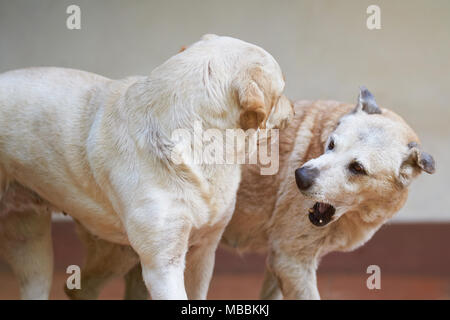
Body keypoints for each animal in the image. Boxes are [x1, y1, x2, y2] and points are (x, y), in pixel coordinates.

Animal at [53, 86, 436, 298]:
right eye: (331, 145)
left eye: (357, 168)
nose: (300, 177)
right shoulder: (292, 260)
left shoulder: (282, 261)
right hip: (126, 252)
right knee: (78, 289)